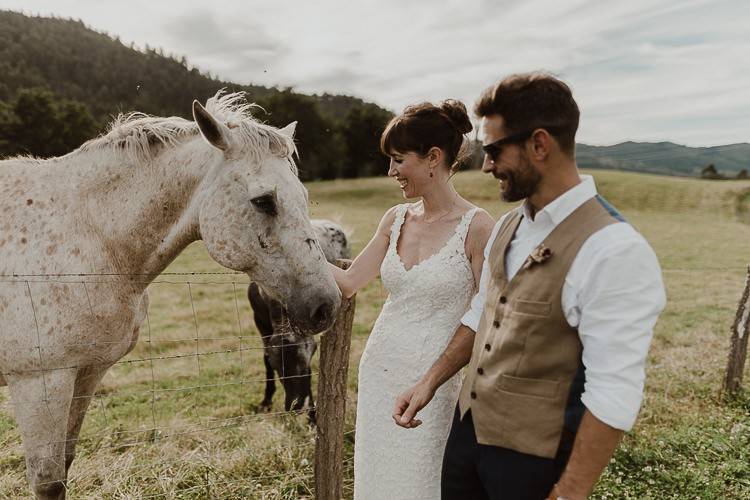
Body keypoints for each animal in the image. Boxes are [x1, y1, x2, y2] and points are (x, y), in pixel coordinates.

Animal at [0, 89, 340, 496]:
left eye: (303, 196)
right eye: (263, 201)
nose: (326, 305)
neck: (88, 234)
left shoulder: (84, 374)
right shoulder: (40, 382)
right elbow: (49, 483)